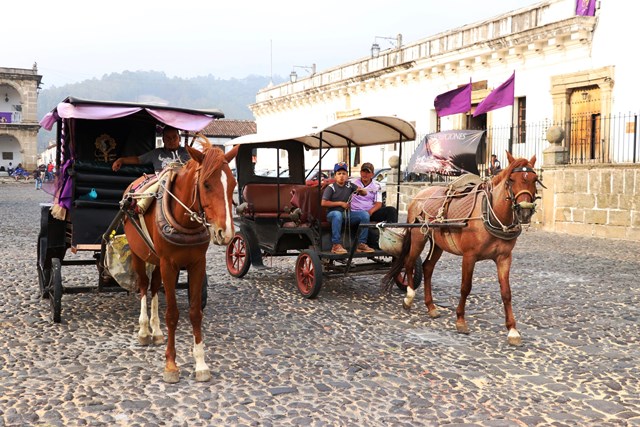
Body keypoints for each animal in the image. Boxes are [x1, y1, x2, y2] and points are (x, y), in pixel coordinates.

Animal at [123, 142, 238, 382]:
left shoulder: (197, 264)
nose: (226, 233)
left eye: (233, 184)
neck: (186, 222)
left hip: (156, 259)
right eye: (206, 184)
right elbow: (172, 314)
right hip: (140, 254)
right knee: (143, 286)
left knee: (154, 288)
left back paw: (157, 332)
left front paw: (201, 364)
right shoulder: (169, 264)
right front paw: (170, 365)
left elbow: (195, 313)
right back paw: (144, 330)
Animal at [384, 152, 540, 346]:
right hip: (418, 237)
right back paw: (409, 297)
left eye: (534, 179)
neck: (489, 213)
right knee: (410, 263)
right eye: (511, 180)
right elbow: (466, 287)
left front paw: (512, 330)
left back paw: (431, 306)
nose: (524, 212)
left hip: (439, 244)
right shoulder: (469, 256)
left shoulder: (504, 258)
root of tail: (419, 196)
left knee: (427, 267)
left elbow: (506, 293)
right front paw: (460, 320)